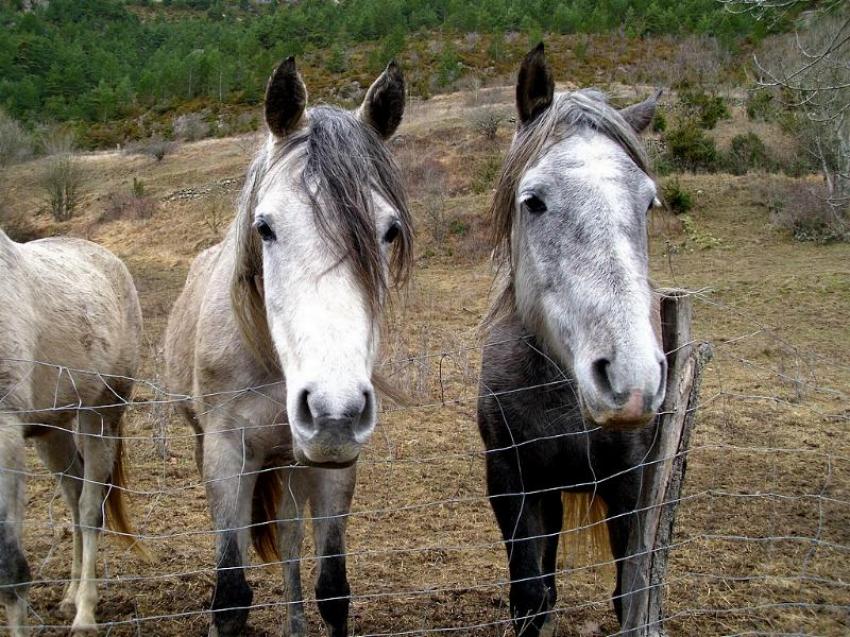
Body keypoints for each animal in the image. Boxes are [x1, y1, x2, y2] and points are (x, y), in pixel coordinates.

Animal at [0, 231, 142, 632]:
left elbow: (10, 568)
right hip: (52, 432)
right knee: (75, 499)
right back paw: (69, 598)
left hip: (101, 417)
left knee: (91, 509)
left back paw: (84, 614)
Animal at [164, 58, 412, 636]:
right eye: (265, 227)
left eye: (389, 230)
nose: (334, 410)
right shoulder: (226, 451)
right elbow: (230, 595)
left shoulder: (333, 461)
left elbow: (333, 589)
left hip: (295, 460)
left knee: (291, 542)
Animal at [476, 42, 664, 632]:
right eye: (533, 200)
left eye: (648, 203)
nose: (629, 380)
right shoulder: (512, 481)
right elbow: (531, 598)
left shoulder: (629, 485)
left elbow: (629, 597)